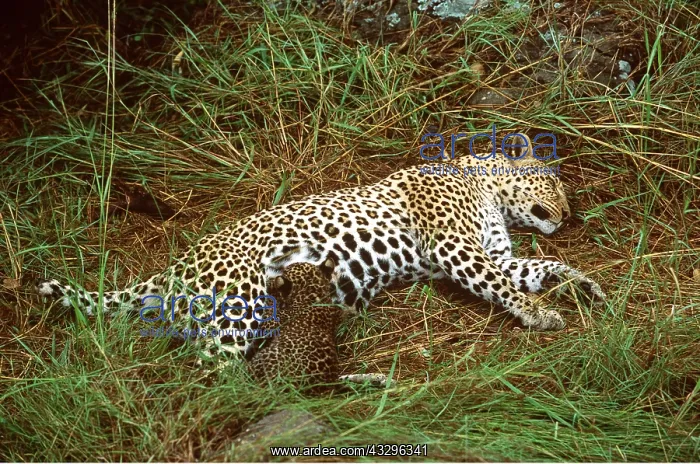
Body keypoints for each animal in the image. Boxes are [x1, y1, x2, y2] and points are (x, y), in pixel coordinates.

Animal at [36, 133, 606, 362]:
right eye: (555, 184)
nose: (569, 214)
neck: (482, 185)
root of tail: (174, 265)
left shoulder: (496, 253)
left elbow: (538, 266)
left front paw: (584, 285)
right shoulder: (456, 250)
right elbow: (504, 286)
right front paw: (540, 314)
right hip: (238, 304)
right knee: (210, 373)